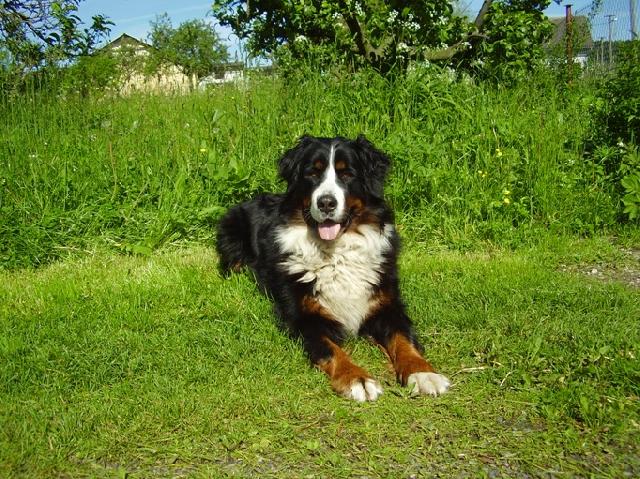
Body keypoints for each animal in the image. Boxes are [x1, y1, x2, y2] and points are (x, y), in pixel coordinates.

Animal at [216, 135, 450, 401]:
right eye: (312, 173)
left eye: (347, 174)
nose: (326, 202)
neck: (337, 253)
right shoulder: (305, 318)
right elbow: (333, 350)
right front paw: (357, 378)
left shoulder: (386, 305)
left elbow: (404, 340)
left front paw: (423, 373)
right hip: (231, 230)